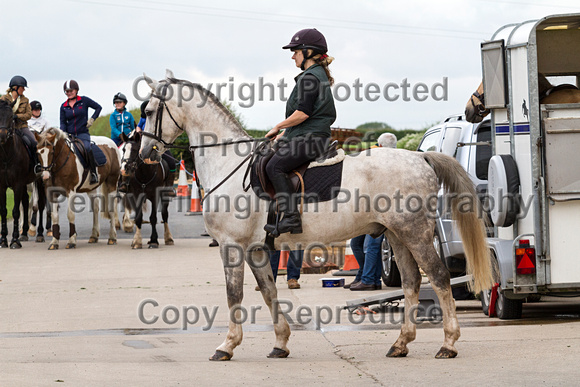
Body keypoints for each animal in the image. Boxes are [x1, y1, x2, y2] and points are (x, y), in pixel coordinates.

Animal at [0, 100, 44, 249]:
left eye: (11, 117)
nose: (2, 135)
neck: (6, 156)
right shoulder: (2, 186)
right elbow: (4, 211)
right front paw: (3, 240)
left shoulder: (17, 185)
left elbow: (15, 211)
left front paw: (14, 241)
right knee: (25, 202)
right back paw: (24, 233)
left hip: (40, 180)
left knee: (40, 205)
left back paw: (40, 234)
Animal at [138, 71, 492, 362]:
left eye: (149, 112)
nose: (144, 155)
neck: (228, 164)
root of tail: (421, 158)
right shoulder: (256, 250)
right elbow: (269, 292)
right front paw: (280, 343)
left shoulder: (232, 246)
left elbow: (233, 295)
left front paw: (226, 346)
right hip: (396, 235)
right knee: (411, 280)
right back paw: (400, 343)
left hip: (415, 233)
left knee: (439, 276)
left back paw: (448, 343)